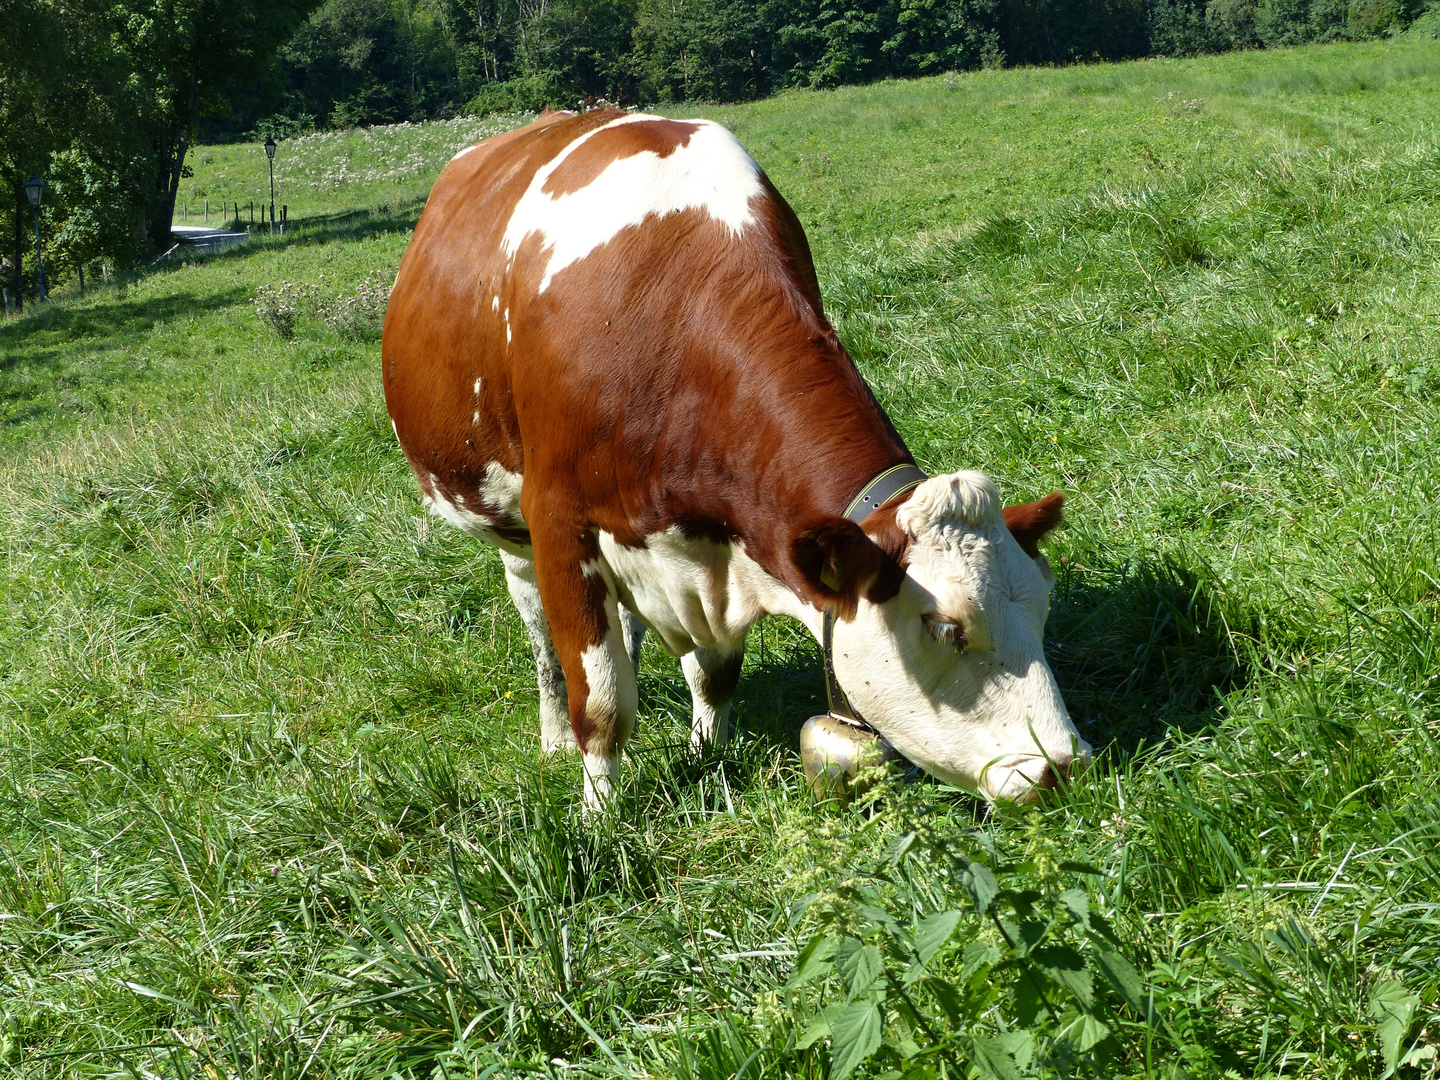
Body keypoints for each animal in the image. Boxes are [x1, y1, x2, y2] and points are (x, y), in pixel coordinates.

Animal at [383, 110, 1088, 812]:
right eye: (945, 627)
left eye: (1044, 605)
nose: (1063, 766)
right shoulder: (560, 521)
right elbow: (603, 702)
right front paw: (601, 815)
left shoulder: (717, 546)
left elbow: (714, 672)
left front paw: (706, 756)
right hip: (505, 520)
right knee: (539, 631)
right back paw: (554, 739)